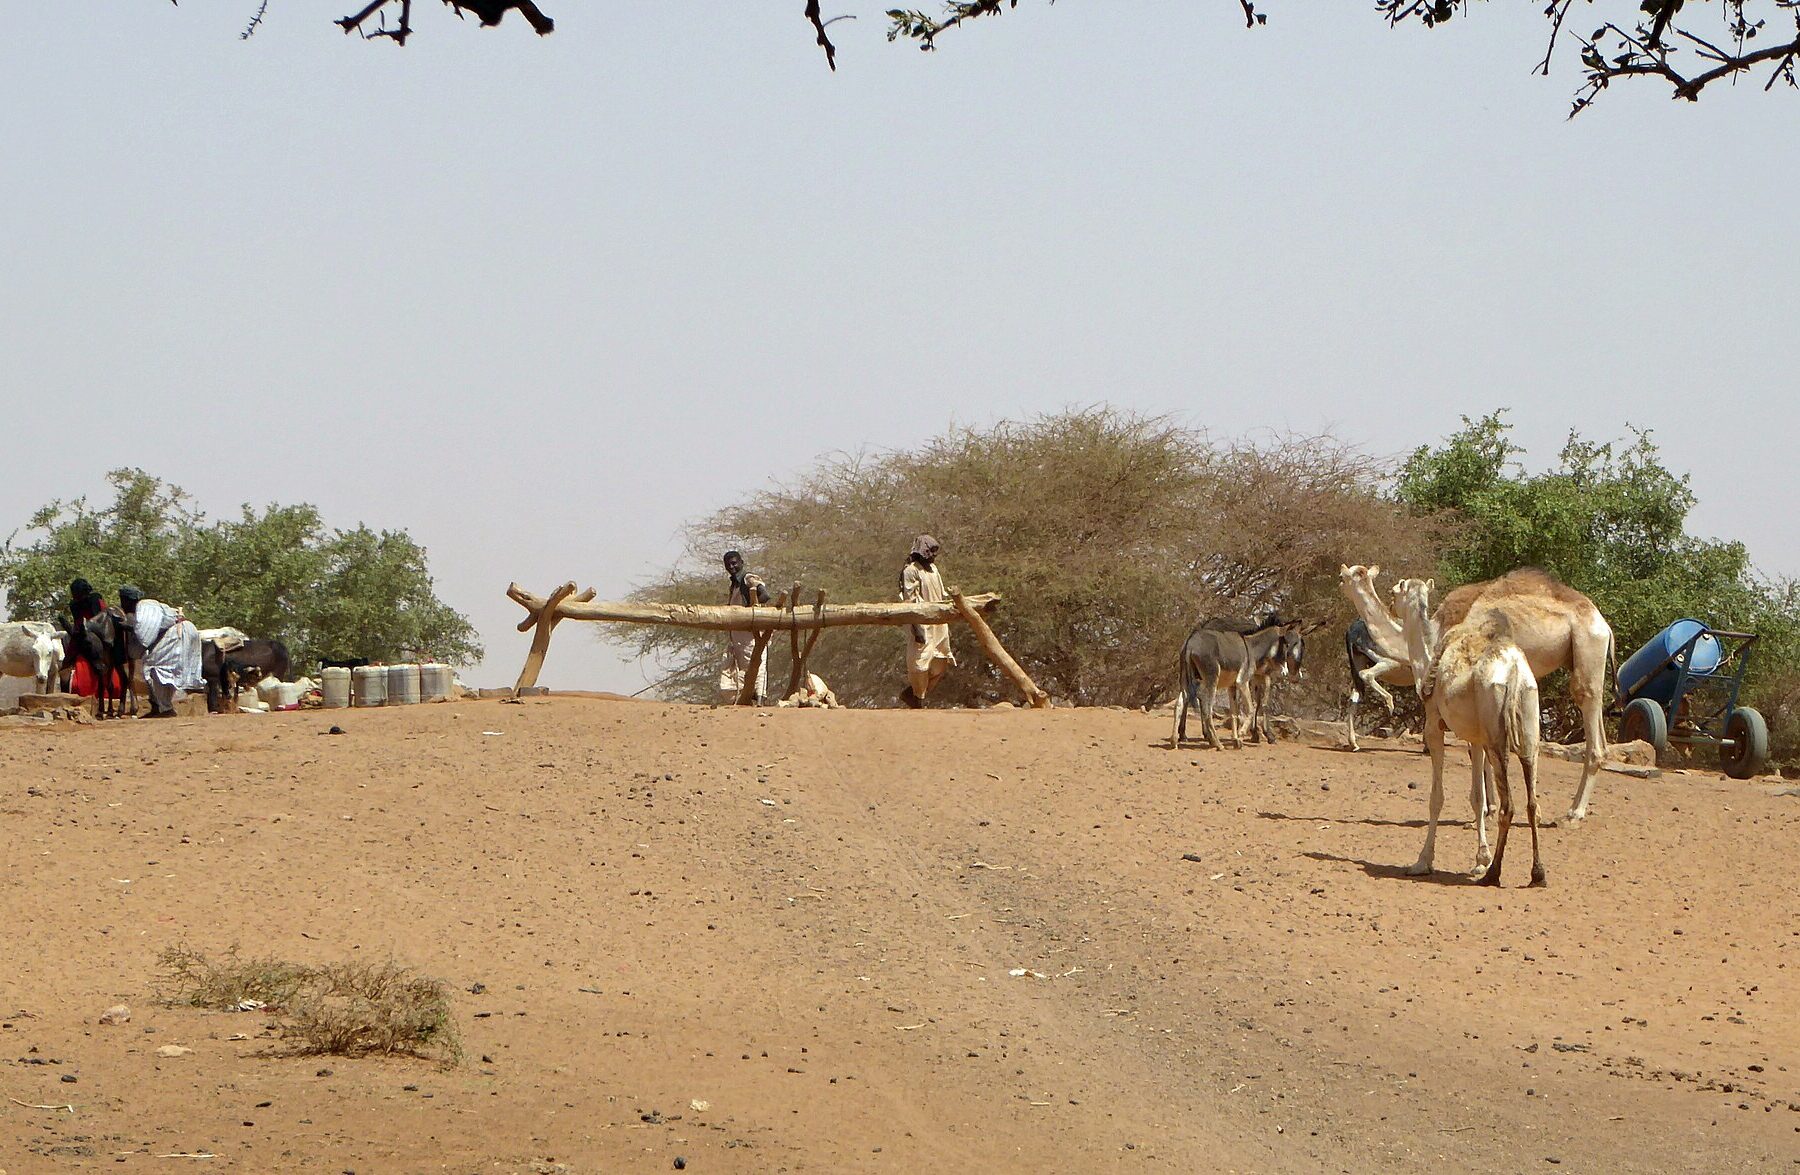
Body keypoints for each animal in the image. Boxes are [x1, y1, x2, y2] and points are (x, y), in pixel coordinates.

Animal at [1393, 578, 1547, 886]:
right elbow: (1478, 797)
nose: (1392, 606)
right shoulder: (1475, 740)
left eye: (1395, 592)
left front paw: (1423, 861)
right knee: (1532, 802)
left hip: (1497, 734)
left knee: (1509, 805)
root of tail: (1514, 672)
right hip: (1528, 727)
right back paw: (1537, 873)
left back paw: (1494, 874)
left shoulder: (1433, 725)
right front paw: (1479, 860)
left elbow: (1437, 797)